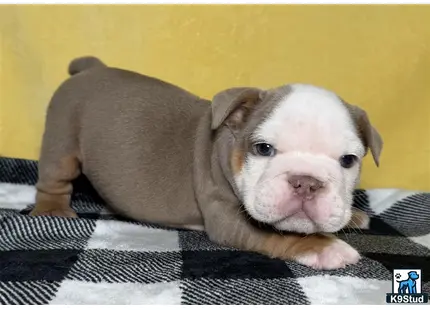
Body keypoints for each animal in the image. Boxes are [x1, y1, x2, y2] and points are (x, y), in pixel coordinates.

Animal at [31, 57, 382, 270]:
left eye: (348, 160)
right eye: (263, 149)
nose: (306, 182)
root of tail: (91, 68)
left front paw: (352, 217)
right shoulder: (228, 218)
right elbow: (281, 235)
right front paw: (327, 247)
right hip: (62, 139)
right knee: (54, 179)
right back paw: (52, 210)